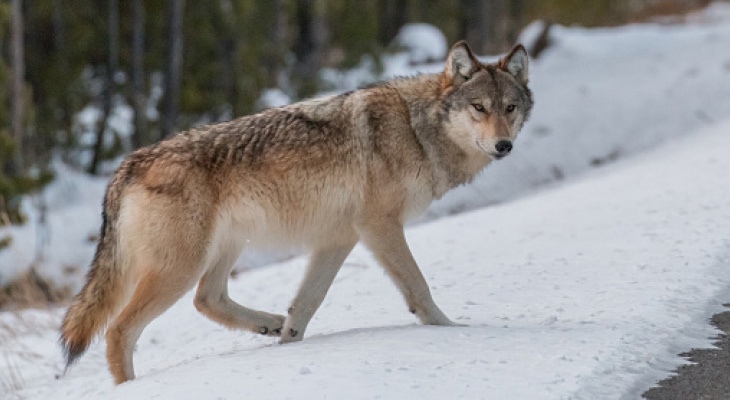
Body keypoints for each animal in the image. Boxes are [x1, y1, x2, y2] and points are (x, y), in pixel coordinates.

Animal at [59, 41, 532, 384]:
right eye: (479, 108)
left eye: (509, 108)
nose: (504, 145)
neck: (417, 130)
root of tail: (127, 165)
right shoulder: (379, 227)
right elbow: (419, 287)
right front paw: (451, 332)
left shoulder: (340, 237)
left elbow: (307, 303)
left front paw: (288, 346)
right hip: (180, 267)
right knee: (120, 331)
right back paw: (130, 387)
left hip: (224, 249)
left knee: (207, 299)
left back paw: (269, 323)